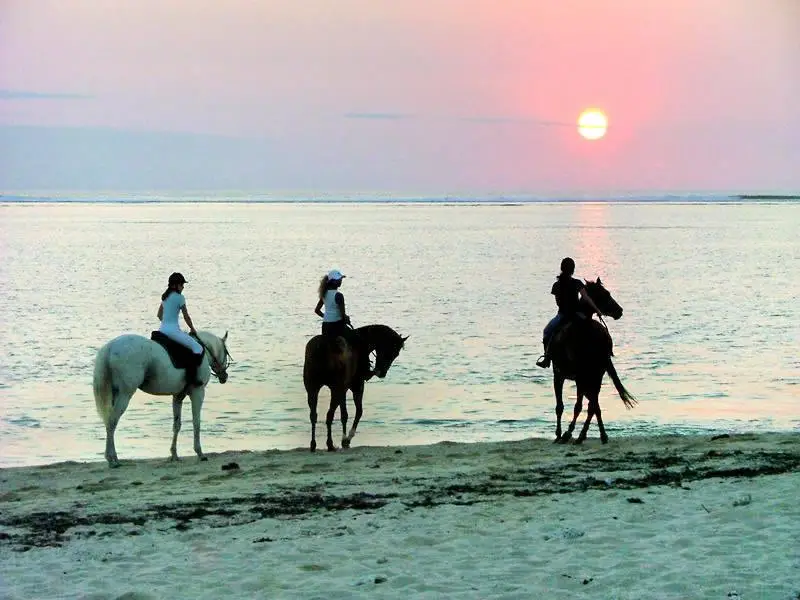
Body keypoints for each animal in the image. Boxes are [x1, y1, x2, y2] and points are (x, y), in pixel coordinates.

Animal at [94, 330, 231, 466]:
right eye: (226, 352)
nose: (224, 377)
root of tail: (110, 347)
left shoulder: (178, 396)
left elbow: (177, 425)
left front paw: (174, 455)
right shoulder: (198, 392)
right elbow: (196, 422)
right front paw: (200, 453)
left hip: (116, 394)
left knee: (109, 423)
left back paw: (113, 458)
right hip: (125, 394)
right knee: (112, 421)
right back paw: (112, 459)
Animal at [548, 278, 636, 442]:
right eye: (605, 294)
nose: (619, 311)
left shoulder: (560, 374)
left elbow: (561, 406)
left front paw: (559, 434)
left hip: (584, 376)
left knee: (587, 405)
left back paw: (573, 434)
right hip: (595, 374)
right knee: (593, 405)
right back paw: (595, 435)